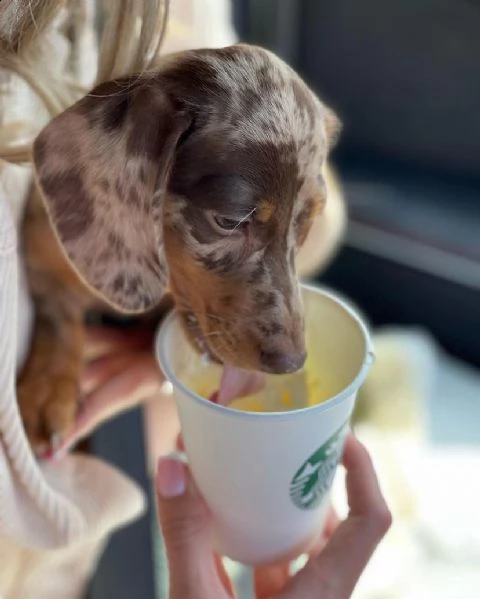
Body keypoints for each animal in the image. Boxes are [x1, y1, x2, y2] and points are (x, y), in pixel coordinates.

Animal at [16, 44, 344, 452]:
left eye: (308, 219)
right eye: (229, 221)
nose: (292, 362)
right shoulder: (42, 254)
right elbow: (57, 319)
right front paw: (48, 389)